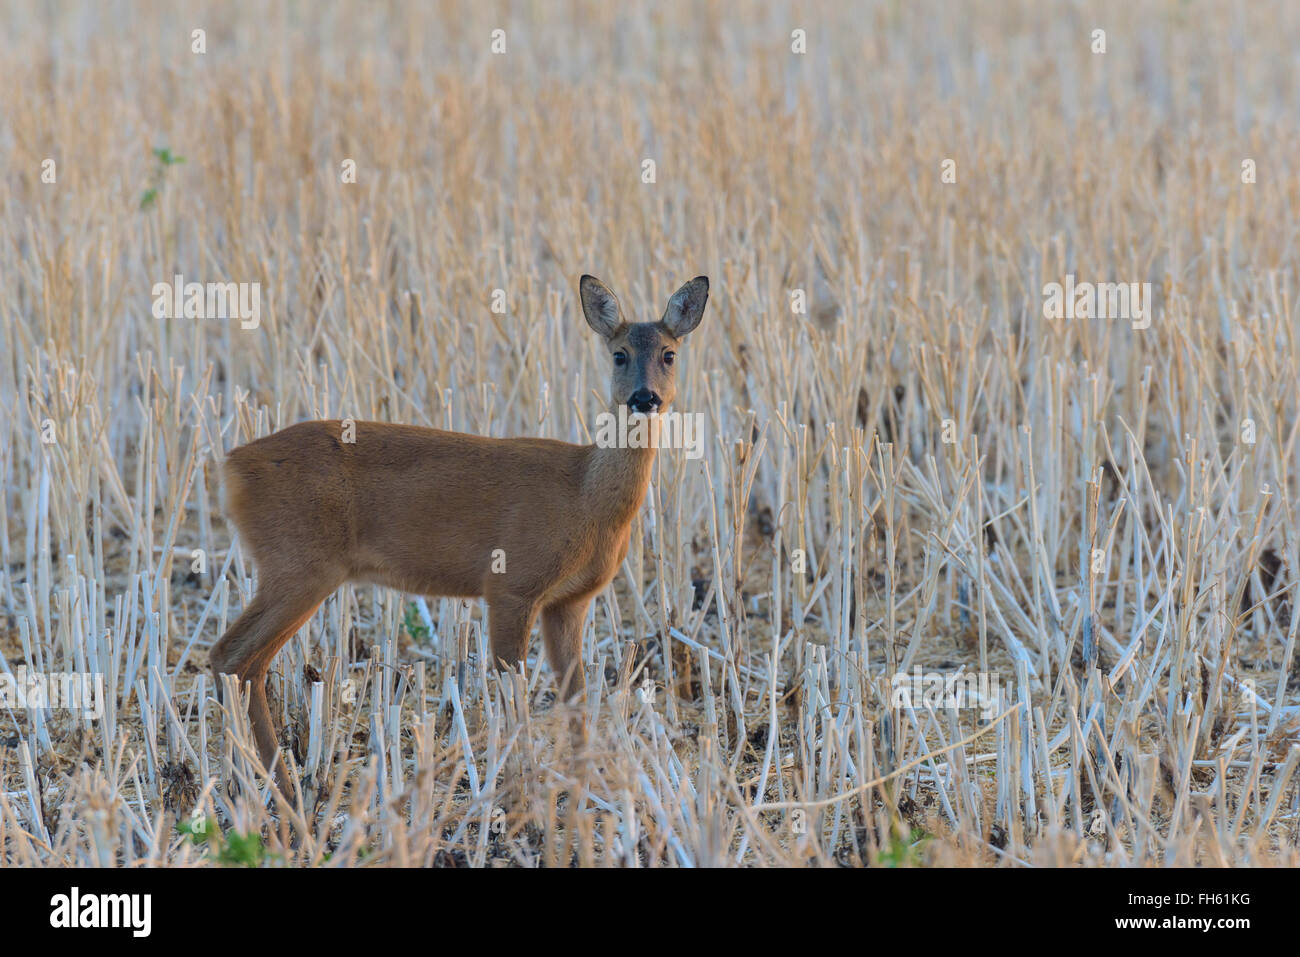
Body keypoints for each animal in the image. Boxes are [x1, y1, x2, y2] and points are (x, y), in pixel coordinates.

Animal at [209, 274, 712, 790]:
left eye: (669, 353)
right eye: (619, 353)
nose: (645, 398)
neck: (586, 497)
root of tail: (232, 467)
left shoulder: (570, 600)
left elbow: (575, 694)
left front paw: (585, 785)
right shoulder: (510, 584)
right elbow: (513, 690)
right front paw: (524, 784)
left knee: (242, 662)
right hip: (300, 563)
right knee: (232, 655)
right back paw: (278, 788)